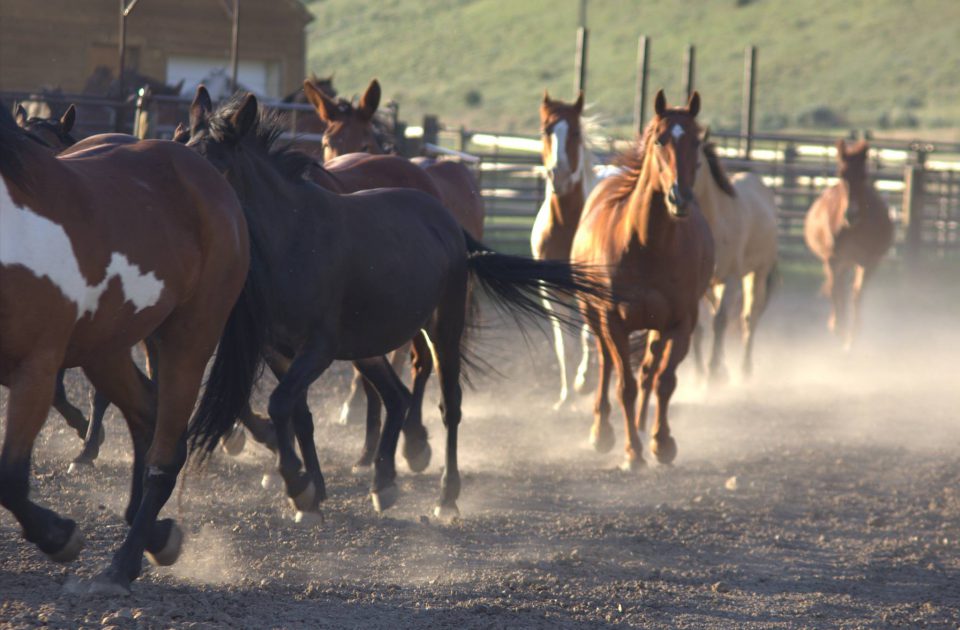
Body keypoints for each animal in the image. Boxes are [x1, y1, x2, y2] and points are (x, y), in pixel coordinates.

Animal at [0, 103, 255, 596]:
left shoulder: (34, 369)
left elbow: (12, 477)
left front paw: (61, 536)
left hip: (188, 338)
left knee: (164, 451)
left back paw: (123, 563)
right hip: (108, 349)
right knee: (145, 415)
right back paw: (153, 532)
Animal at [568, 91, 712, 472]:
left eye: (697, 142)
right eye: (660, 139)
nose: (680, 197)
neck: (648, 244)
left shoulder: (681, 323)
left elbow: (664, 381)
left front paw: (662, 443)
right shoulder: (613, 321)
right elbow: (625, 386)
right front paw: (632, 452)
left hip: (655, 327)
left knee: (649, 370)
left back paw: (645, 426)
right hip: (593, 314)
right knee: (606, 364)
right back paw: (602, 432)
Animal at [688, 137, 780, 380]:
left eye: (697, 163)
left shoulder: (729, 277)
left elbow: (721, 321)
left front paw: (712, 373)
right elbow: (699, 324)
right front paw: (700, 373)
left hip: (756, 274)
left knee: (749, 317)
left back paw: (745, 369)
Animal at [804, 139, 892, 350]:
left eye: (864, 175)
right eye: (841, 173)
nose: (851, 214)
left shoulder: (868, 262)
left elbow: (857, 293)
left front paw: (852, 336)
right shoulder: (833, 260)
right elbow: (836, 291)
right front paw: (839, 328)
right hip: (837, 262)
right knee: (837, 289)